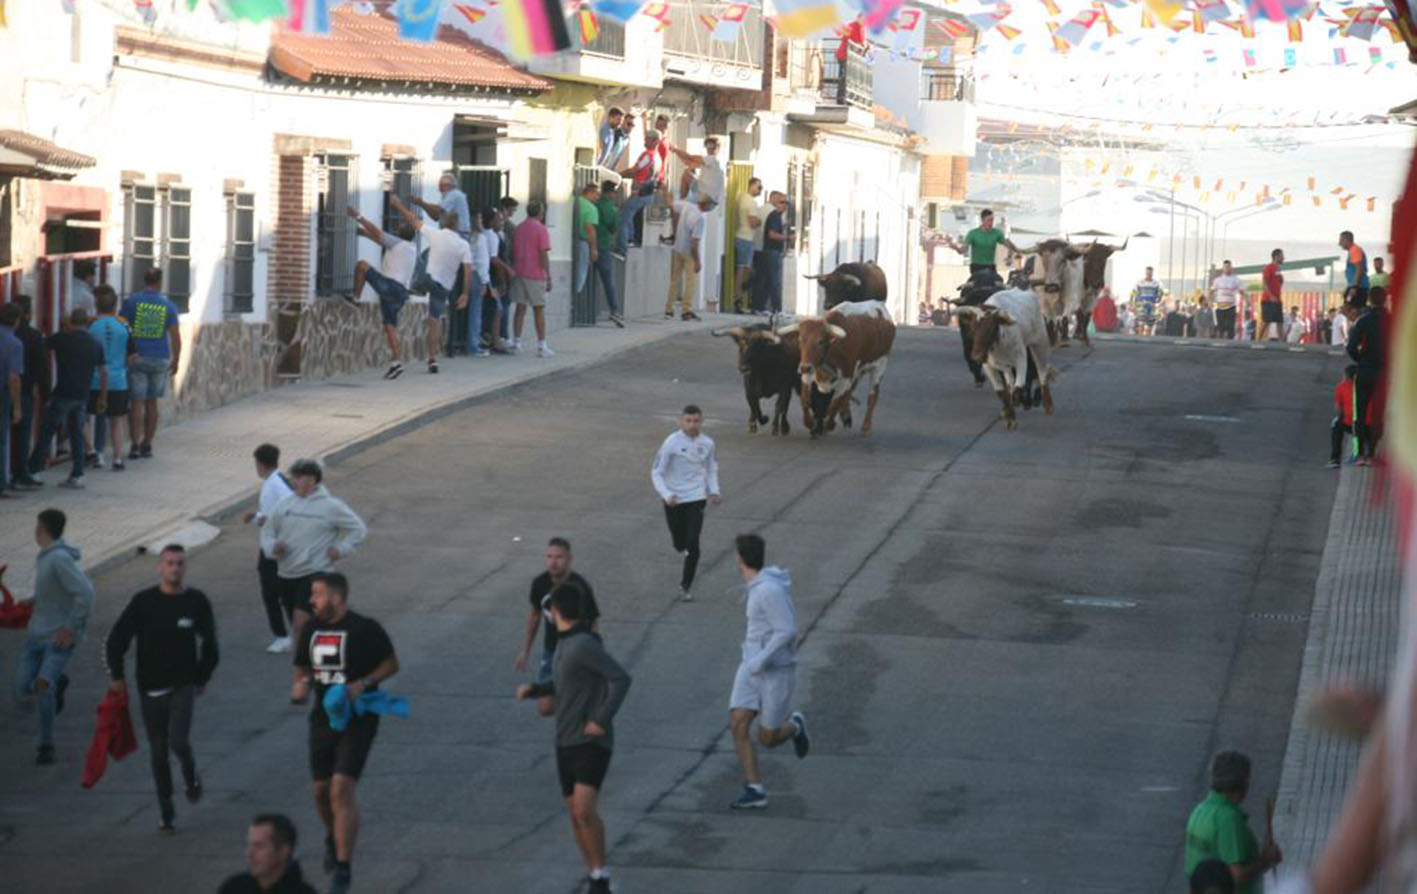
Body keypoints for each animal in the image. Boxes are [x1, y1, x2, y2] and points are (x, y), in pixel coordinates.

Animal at [782, 306, 889, 439]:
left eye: (821, 341)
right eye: (800, 339)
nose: (804, 368)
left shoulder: (845, 379)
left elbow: (833, 405)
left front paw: (827, 425)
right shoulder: (808, 374)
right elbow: (805, 399)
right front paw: (810, 423)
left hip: (879, 366)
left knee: (872, 395)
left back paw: (865, 426)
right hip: (858, 372)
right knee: (850, 392)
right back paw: (845, 416)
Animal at [957, 284, 1059, 427]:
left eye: (991, 328)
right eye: (972, 328)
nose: (976, 356)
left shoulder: (1021, 358)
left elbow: (1019, 386)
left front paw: (1020, 401)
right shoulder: (989, 366)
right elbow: (1002, 392)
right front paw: (1010, 418)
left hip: (1040, 343)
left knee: (1042, 371)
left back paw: (1047, 404)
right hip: (1006, 366)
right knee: (1011, 380)